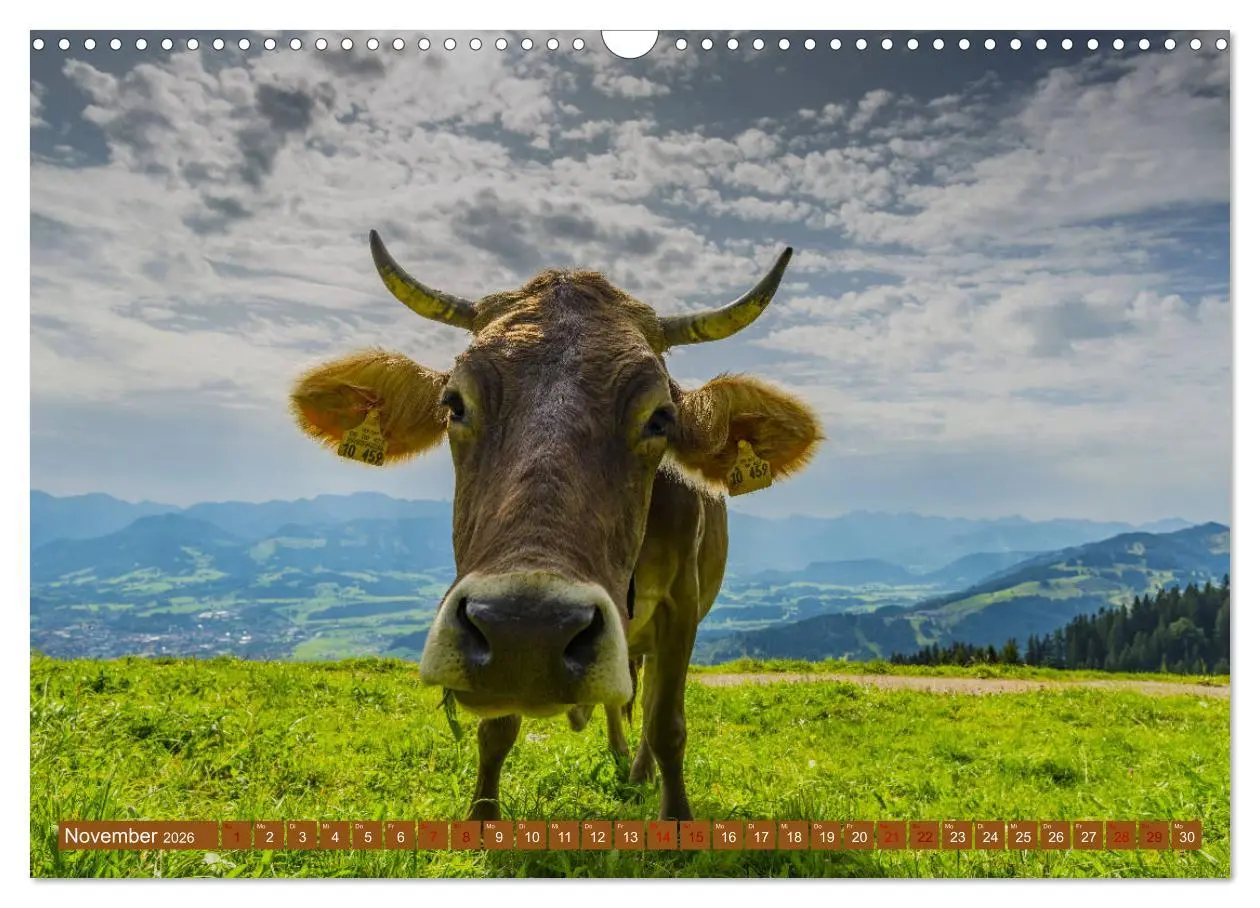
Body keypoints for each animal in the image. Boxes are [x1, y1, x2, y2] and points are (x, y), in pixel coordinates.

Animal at [289, 231, 822, 821]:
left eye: (660, 418)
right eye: (454, 404)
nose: (528, 630)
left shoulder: (683, 605)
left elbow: (667, 724)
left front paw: (675, 816)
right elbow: (497, 730)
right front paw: (482, 819)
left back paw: (637, 771)